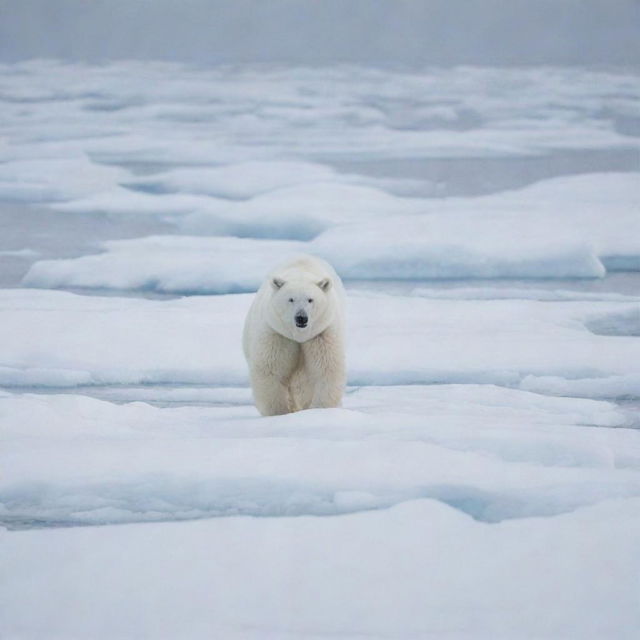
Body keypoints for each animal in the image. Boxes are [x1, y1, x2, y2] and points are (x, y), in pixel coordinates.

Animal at [244, 255, 344, 416]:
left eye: (310, 299)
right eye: (291, 299)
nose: (301, 318)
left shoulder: (321, 334)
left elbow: (325, 368)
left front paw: (320, 409)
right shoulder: (278, 334)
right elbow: (271, 370)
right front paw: (279, 412)